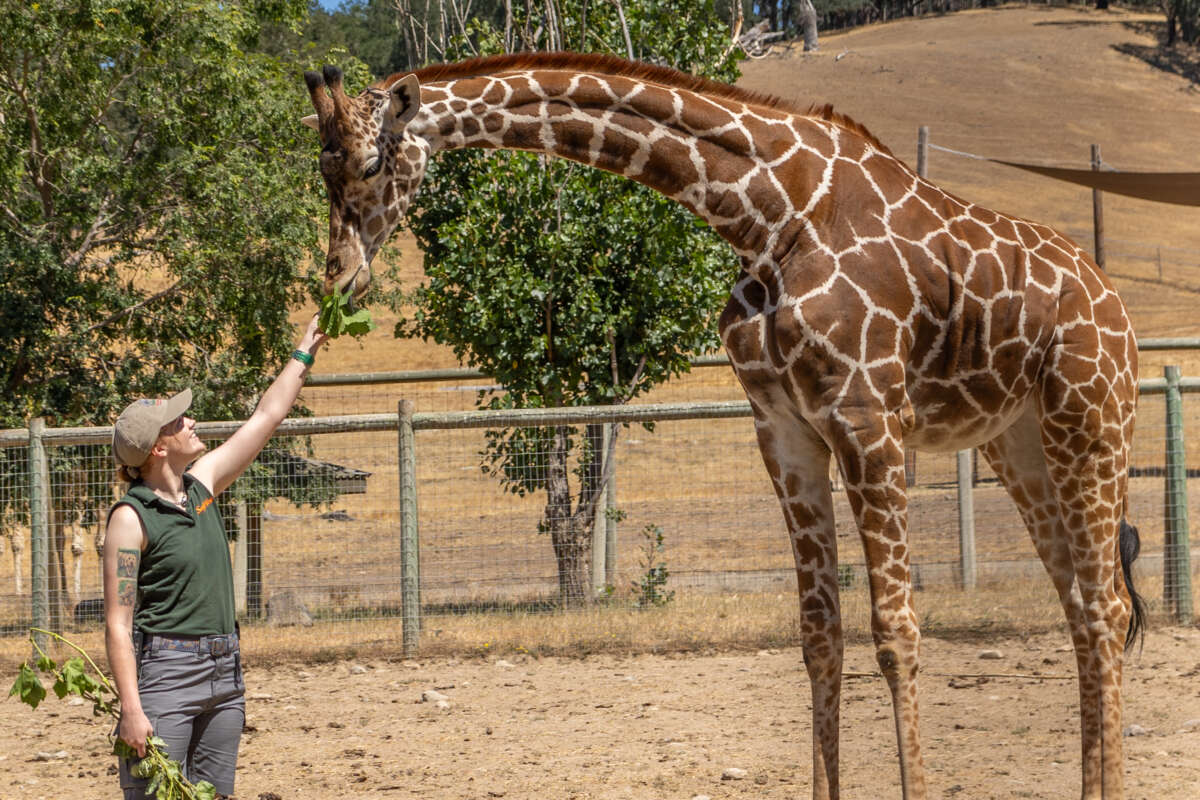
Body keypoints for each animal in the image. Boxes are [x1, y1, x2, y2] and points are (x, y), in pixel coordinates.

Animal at [301, 53, 1146, 799]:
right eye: (321, 171)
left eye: (369, 166)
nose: (339, 280)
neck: (766, 215)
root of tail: (1117, 309)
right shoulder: (785, 428)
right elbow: (818, 633)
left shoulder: (869, 415)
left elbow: (896, 631)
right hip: (1020, 445)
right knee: (1083, 607)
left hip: (1091, 422)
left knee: (1108, 607)